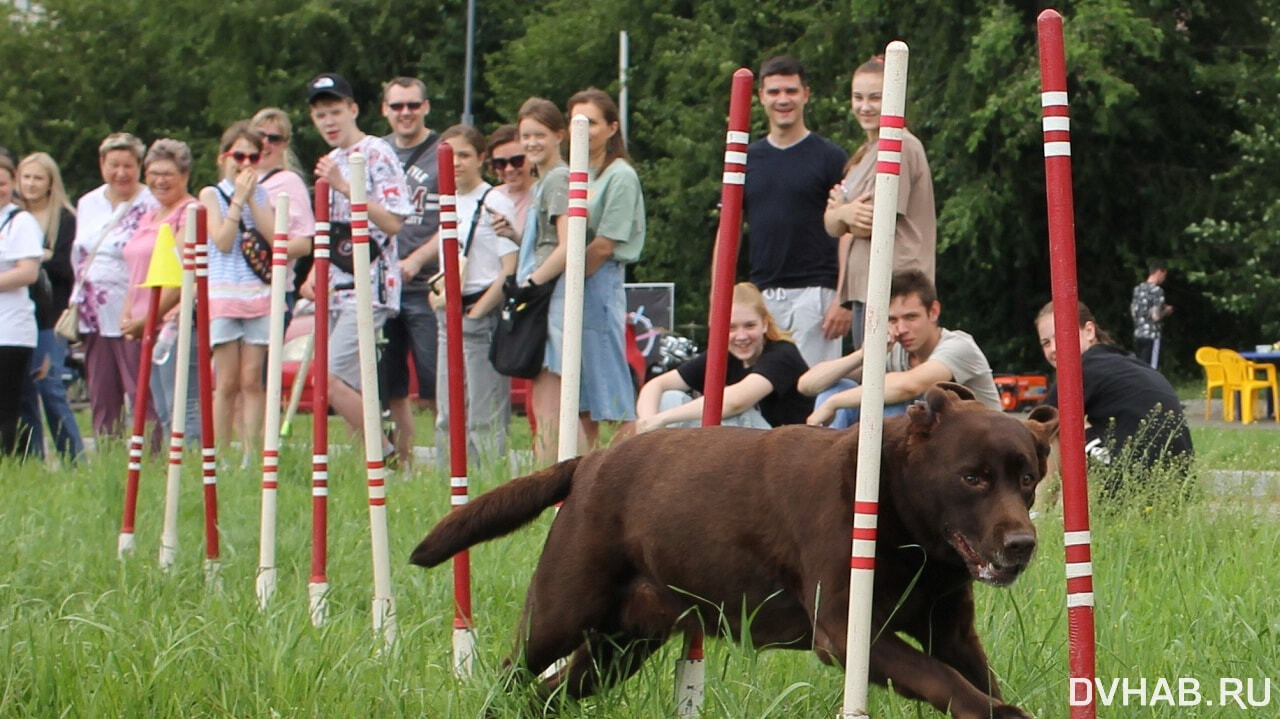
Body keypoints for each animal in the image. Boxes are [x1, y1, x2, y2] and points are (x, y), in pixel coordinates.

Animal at [412, 383, 1059, 711]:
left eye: (1027, 478)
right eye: (973, 477)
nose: (1022, 543)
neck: (909, 530)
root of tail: (589, 464)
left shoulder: (951, 634)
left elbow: (972, 676)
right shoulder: (849, 634)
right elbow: (948, 684)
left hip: (620, 645)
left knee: (547, 694)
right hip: (560, 615)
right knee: (510, 676)